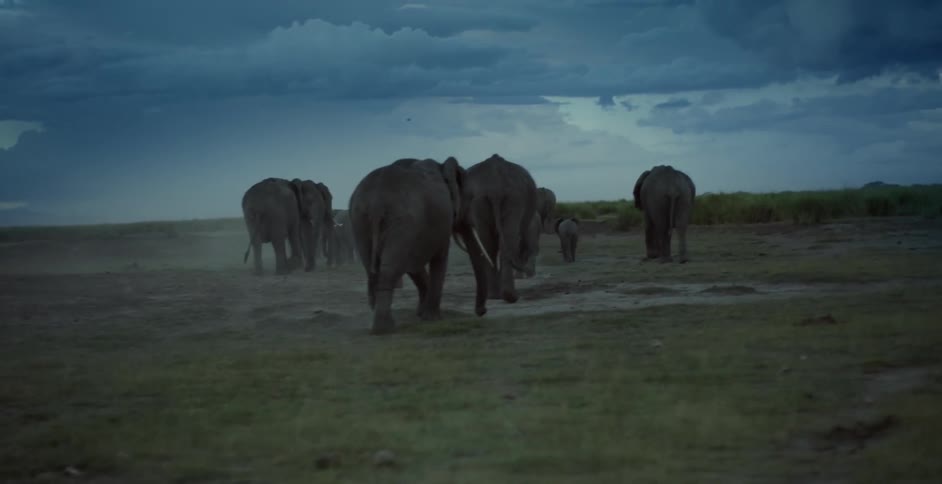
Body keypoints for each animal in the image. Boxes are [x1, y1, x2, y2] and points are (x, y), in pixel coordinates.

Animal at [348, 156, 487, 334]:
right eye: (470, 198)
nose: (481, 312)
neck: (442, 165)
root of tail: (376, 202)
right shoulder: (441, 221)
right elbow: (439, 258)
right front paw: (433, 318)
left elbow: (413, 264)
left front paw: (421, 314)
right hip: (402, 219)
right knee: (390, 268)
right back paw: (385, 328)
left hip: (360, 219)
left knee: (374, 267)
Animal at [453, 154, 538, 316]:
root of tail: (495, 187)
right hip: (502, 200)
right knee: (499, 242)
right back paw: (506, 296)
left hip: (492, 200)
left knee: (492, 243)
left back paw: (501, 296)